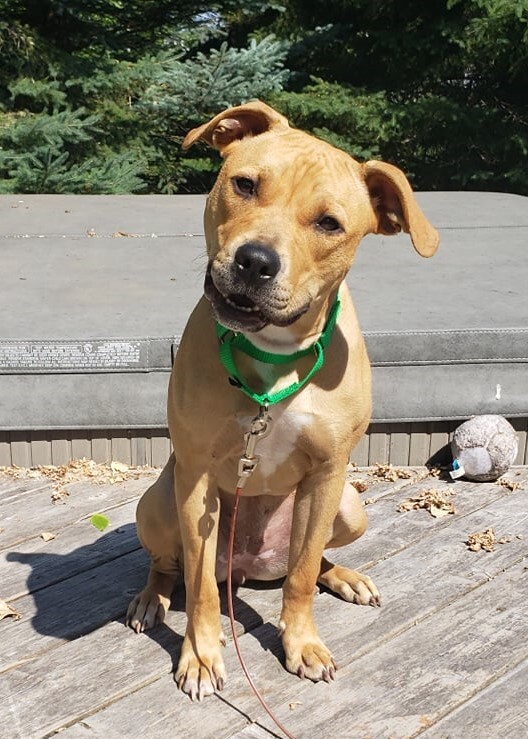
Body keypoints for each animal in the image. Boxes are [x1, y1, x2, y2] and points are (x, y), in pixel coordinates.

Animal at [126, 101, 440, 704]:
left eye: (329, 224)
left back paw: (343, 575)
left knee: (309, 561)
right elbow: (200, 587)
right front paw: (200, 656)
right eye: (245, 185)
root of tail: (247, 567)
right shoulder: (197, 478)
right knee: (169, 565)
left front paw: (302, 643)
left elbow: (300, 577)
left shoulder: (328, 471)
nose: (255, 261)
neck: (272, 350)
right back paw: (150, 598)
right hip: (157, 505)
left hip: (350, 506)